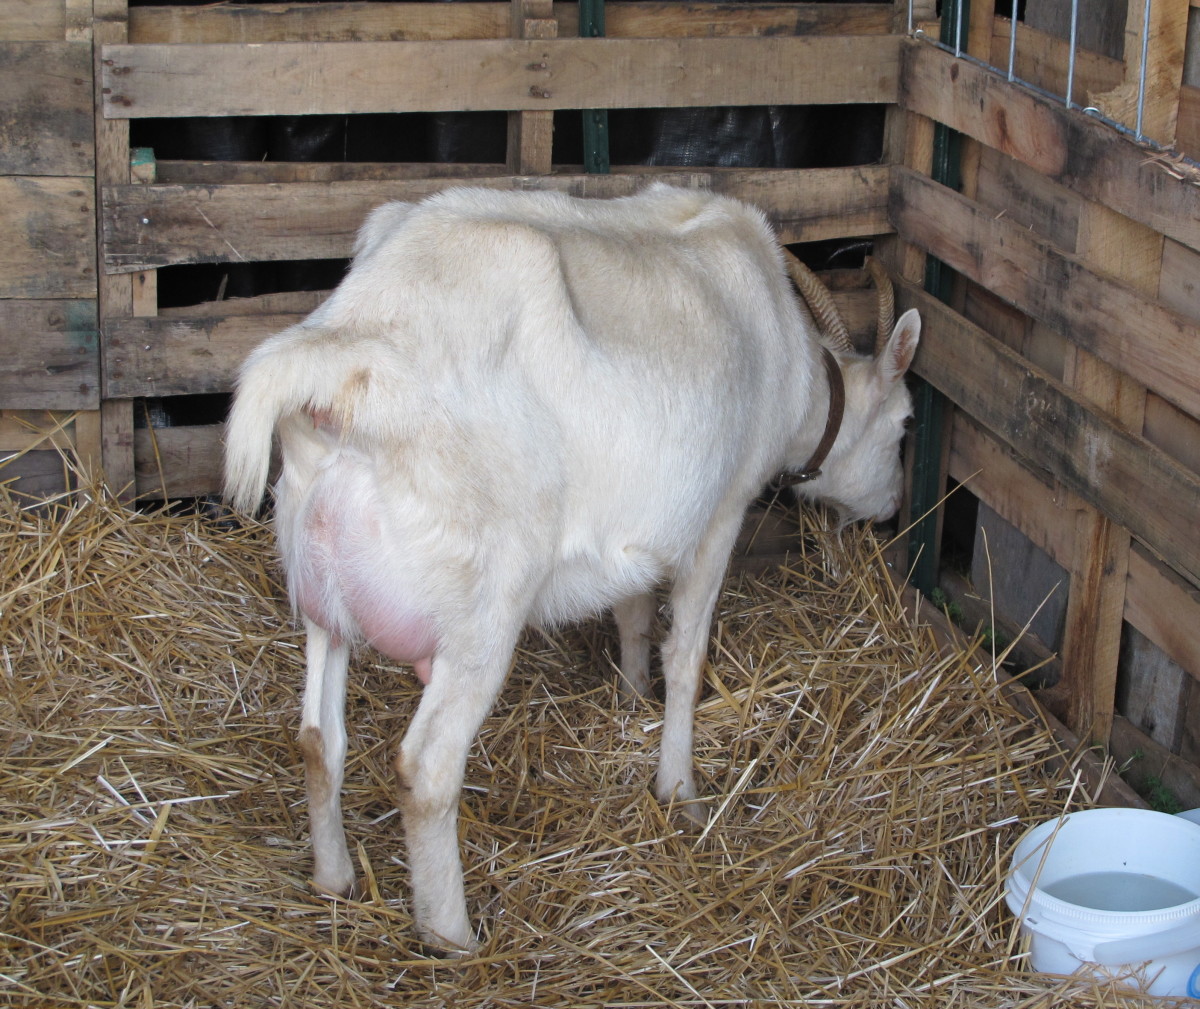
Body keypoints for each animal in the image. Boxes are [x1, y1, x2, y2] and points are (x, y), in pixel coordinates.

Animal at [223, 184, 920, 952]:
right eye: (904, 424)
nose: (892, 506)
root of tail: (338, 362)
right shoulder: (723, 510)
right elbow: (688, 655)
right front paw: (679, 789)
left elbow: (634, 611)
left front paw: (631, 694)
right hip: (484, 606)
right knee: (427, 770)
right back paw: (454, 935)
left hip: (321, 590)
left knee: (318, 737)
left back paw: (335, 878)